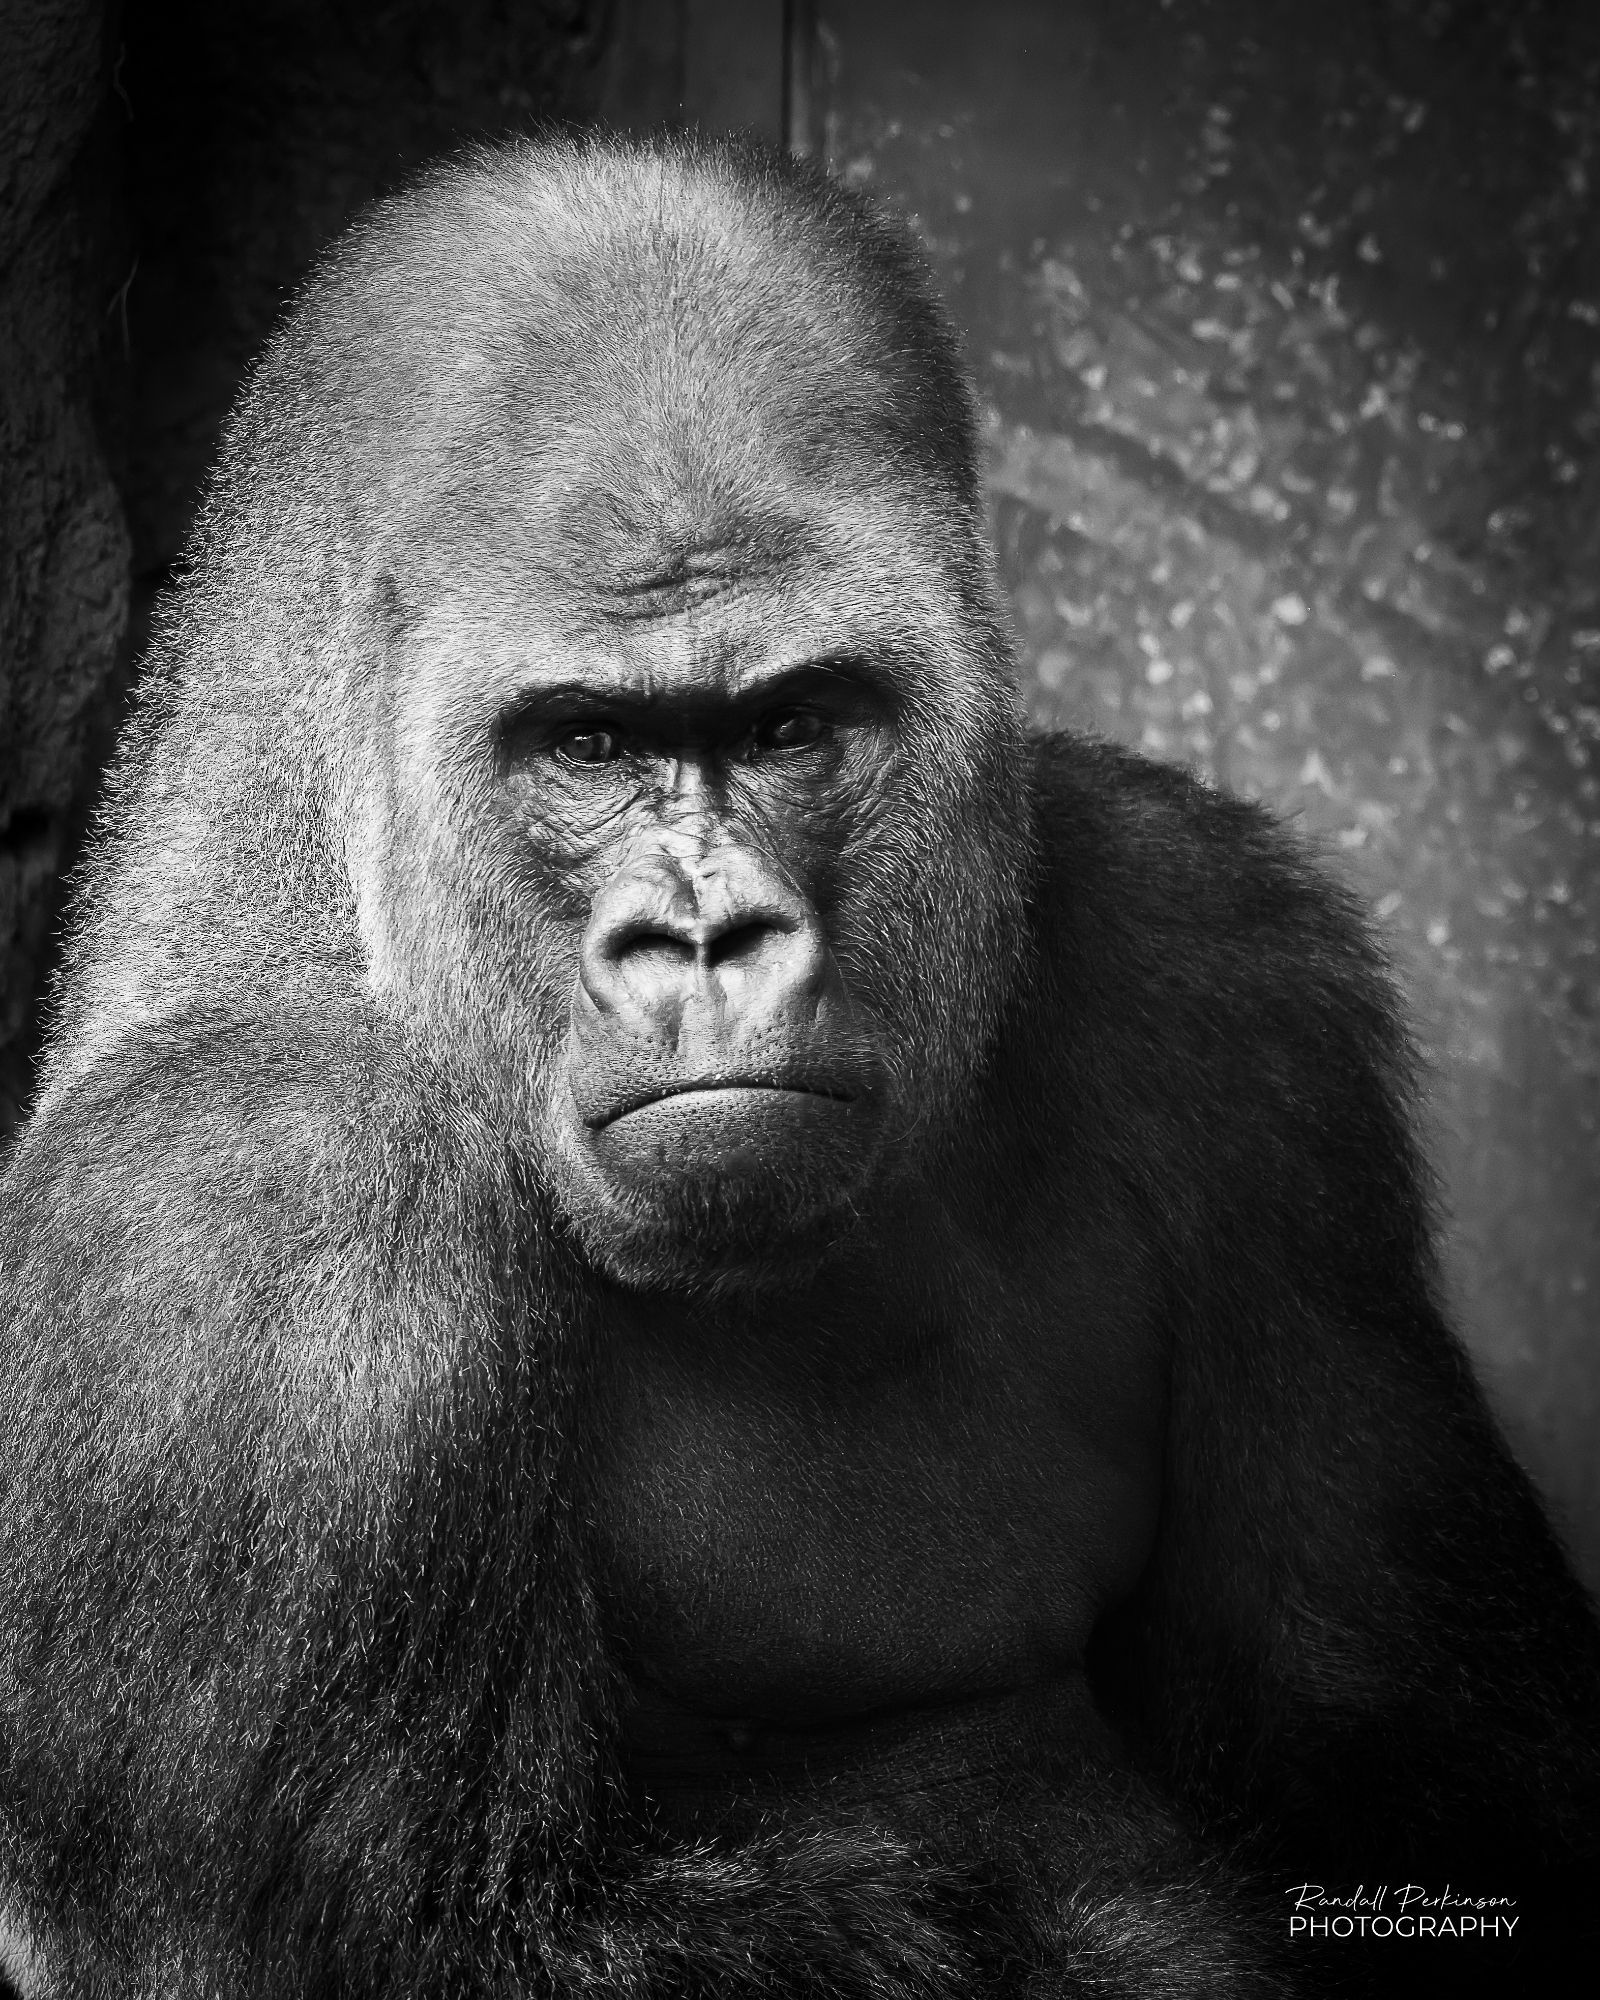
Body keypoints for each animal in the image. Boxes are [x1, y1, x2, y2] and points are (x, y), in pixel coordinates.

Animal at [3, 133, 1600, 1992]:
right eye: (588, 738)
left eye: (788, 724)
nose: (711, 936)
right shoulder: (254, 1216)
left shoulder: (1228, 979)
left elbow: (1410, 1747)